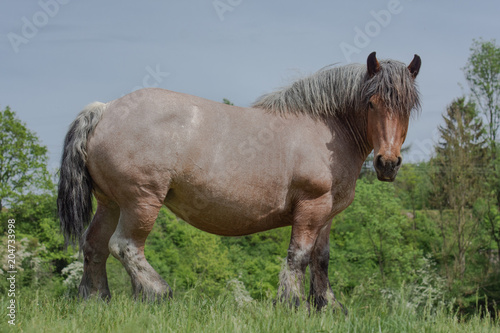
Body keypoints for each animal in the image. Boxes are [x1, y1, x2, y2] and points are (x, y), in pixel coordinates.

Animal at [57, 50, 422, 310]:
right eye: (371, 102)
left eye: (408, 106)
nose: (388, 163)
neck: (326, 129)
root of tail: (104, 110)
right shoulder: (311, 207)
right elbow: (299, 256)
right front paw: (292, 303)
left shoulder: (327, 214)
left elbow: (321, 259)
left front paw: (328, 306)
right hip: (141, 201)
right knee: (125, 246)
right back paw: (158, 293)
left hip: (111, 203)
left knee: (94, 245)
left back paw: (97, 300)